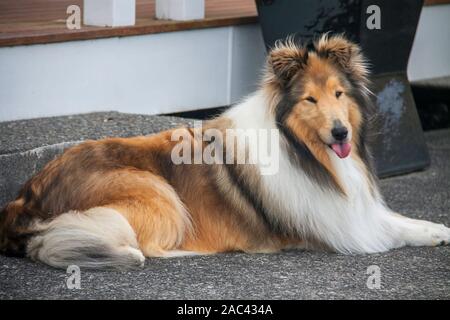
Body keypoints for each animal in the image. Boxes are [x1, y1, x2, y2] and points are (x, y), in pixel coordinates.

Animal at [0, 34, 450, 270]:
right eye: (310, 100)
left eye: (339, 94)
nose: (340, 132)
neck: (303, 151)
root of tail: (23, 198)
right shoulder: (337, 224)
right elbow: (388, 230)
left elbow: (399, 219)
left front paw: (437, 229)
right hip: (159, 194)